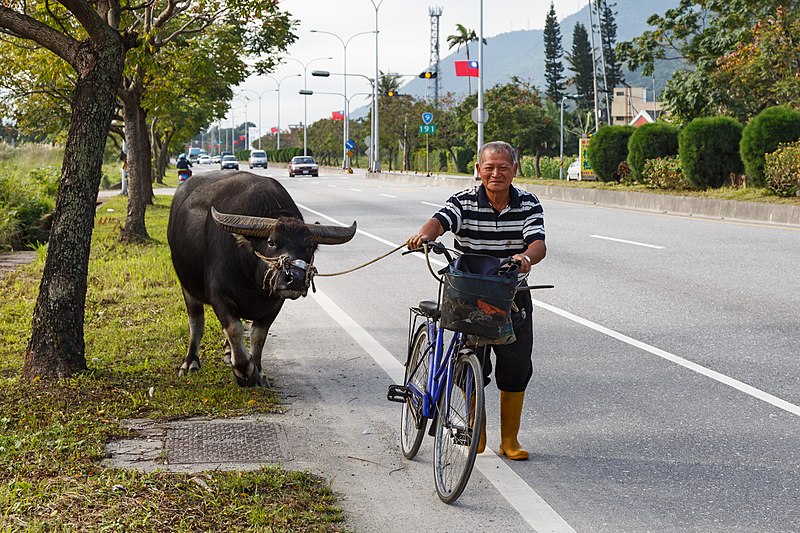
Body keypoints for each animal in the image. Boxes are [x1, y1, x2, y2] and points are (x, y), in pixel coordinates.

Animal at [167, 172, 354, 384]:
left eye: (309, 247)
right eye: (271, 242)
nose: (296, 278)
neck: (252, 282)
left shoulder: (275, 303)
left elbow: (258, 337)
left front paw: (258, 371)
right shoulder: (219, 296)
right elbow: (234, 329)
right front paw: (244, 371)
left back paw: (227, 353)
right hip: (187, 287)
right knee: (196, 323)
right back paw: (191, 362)